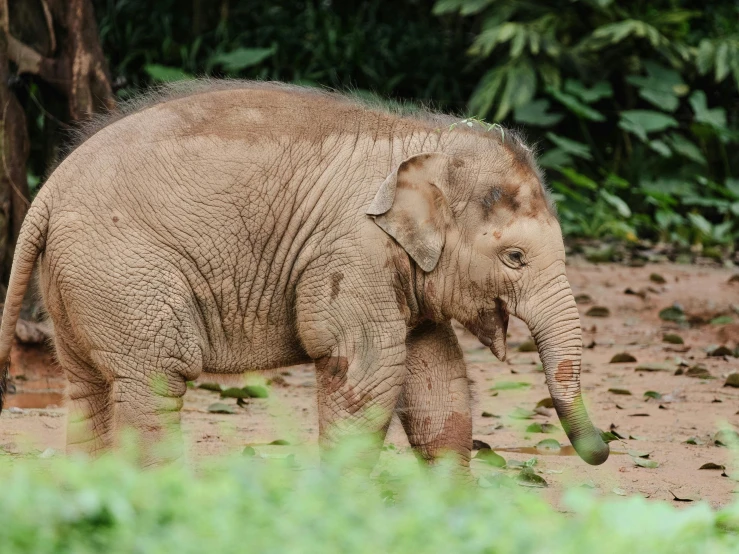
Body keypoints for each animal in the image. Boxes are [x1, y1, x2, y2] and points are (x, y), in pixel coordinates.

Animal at [0, 81, 608, 466]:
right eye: (515, 258)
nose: (602, 449)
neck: (421, 139)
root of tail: (47, 192)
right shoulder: (350, 253)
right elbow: (366, 373)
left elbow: (438, 379)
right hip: (123, 272)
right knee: (156, 381)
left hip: (79, 281)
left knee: (89, 387)